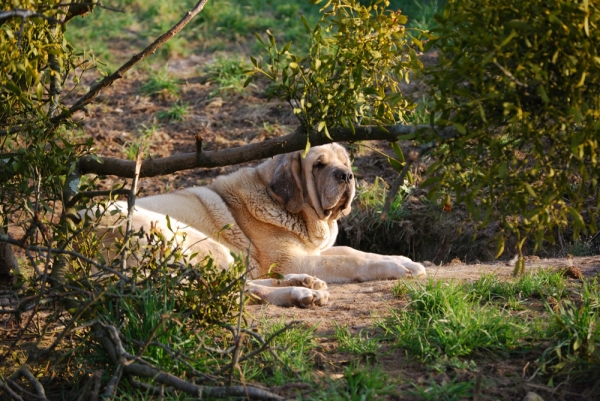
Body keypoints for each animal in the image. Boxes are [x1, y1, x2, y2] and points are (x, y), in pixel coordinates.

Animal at [89, 143, 426, 306]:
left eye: (345, 162)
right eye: (318, 165)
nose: (347, 175)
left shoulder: (308, 253)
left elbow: (354, 252)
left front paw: (403, 259)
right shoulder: (296, 257)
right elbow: (351, 260)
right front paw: (397, 267)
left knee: (234, 284)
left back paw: (304, 285)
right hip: (191, 239)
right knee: (226, 288)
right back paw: (299, 293)